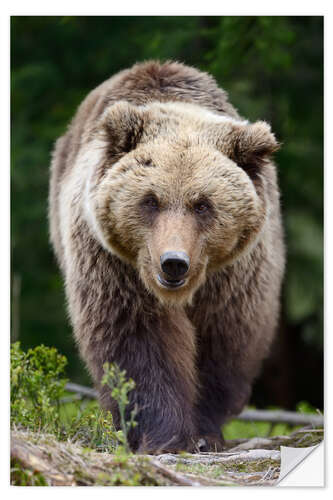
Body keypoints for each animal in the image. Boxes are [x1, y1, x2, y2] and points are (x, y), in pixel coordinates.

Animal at [48, 60, 284, 456]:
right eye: (150, 200)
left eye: (203, 204)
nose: (173, 263)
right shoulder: (116, 264)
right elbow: (137, 341)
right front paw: (165, 436)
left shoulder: (235, 276)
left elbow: (222, 340)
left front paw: (204, 432)